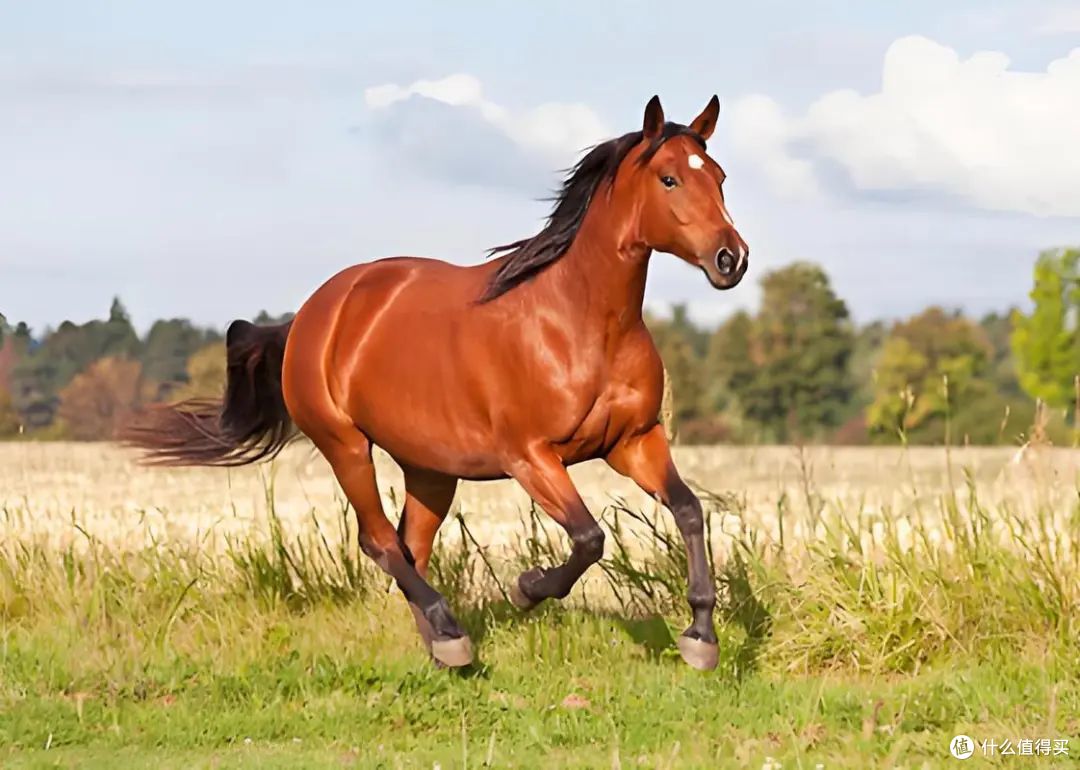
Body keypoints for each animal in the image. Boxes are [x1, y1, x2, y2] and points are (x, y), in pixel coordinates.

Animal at [122, 95, 749, 670]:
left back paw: (442, 645)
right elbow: (589, 538)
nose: (732, 259)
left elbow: (689, 510)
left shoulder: (634, 442)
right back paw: (450, 633)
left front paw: (701, 637)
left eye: (719, 177)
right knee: (379, 540)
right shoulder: (531, 456)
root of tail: (309, 316)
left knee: (411, 546)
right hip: (345, 445)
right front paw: (527, 588)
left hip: (430, 470)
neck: (583, 324)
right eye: (669, 178)